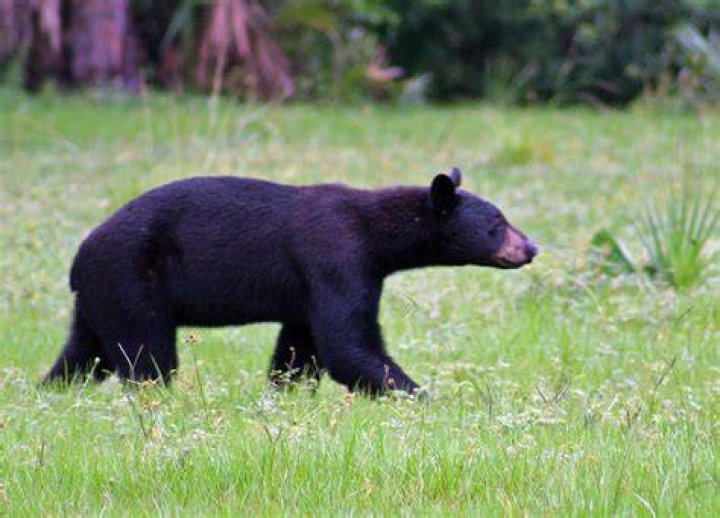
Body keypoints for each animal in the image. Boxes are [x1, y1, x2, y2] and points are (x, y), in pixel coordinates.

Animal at [43, 167, 538, 395]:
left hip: (101, 294)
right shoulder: (336, 257)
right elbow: (348, 344)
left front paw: (286, 391)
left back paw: (52, 391)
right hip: (132, 278)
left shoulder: (311, 289)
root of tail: (78, 258)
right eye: (497, 224)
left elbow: (300, 348)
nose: (531, 247)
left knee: (83, 354)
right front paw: (424, 396)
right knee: (147, 354)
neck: (376, 234)